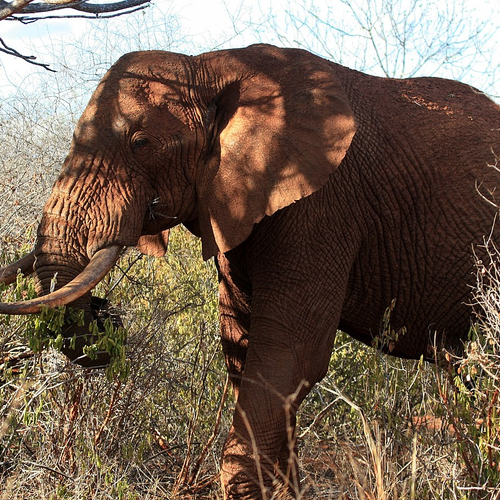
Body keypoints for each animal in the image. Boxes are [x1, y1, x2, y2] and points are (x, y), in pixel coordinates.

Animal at [0, 45, 500, 498]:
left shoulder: (322, 204)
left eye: (141, 143)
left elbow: (290, 352)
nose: (110, 316)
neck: (211, 66)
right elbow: (241, 346)